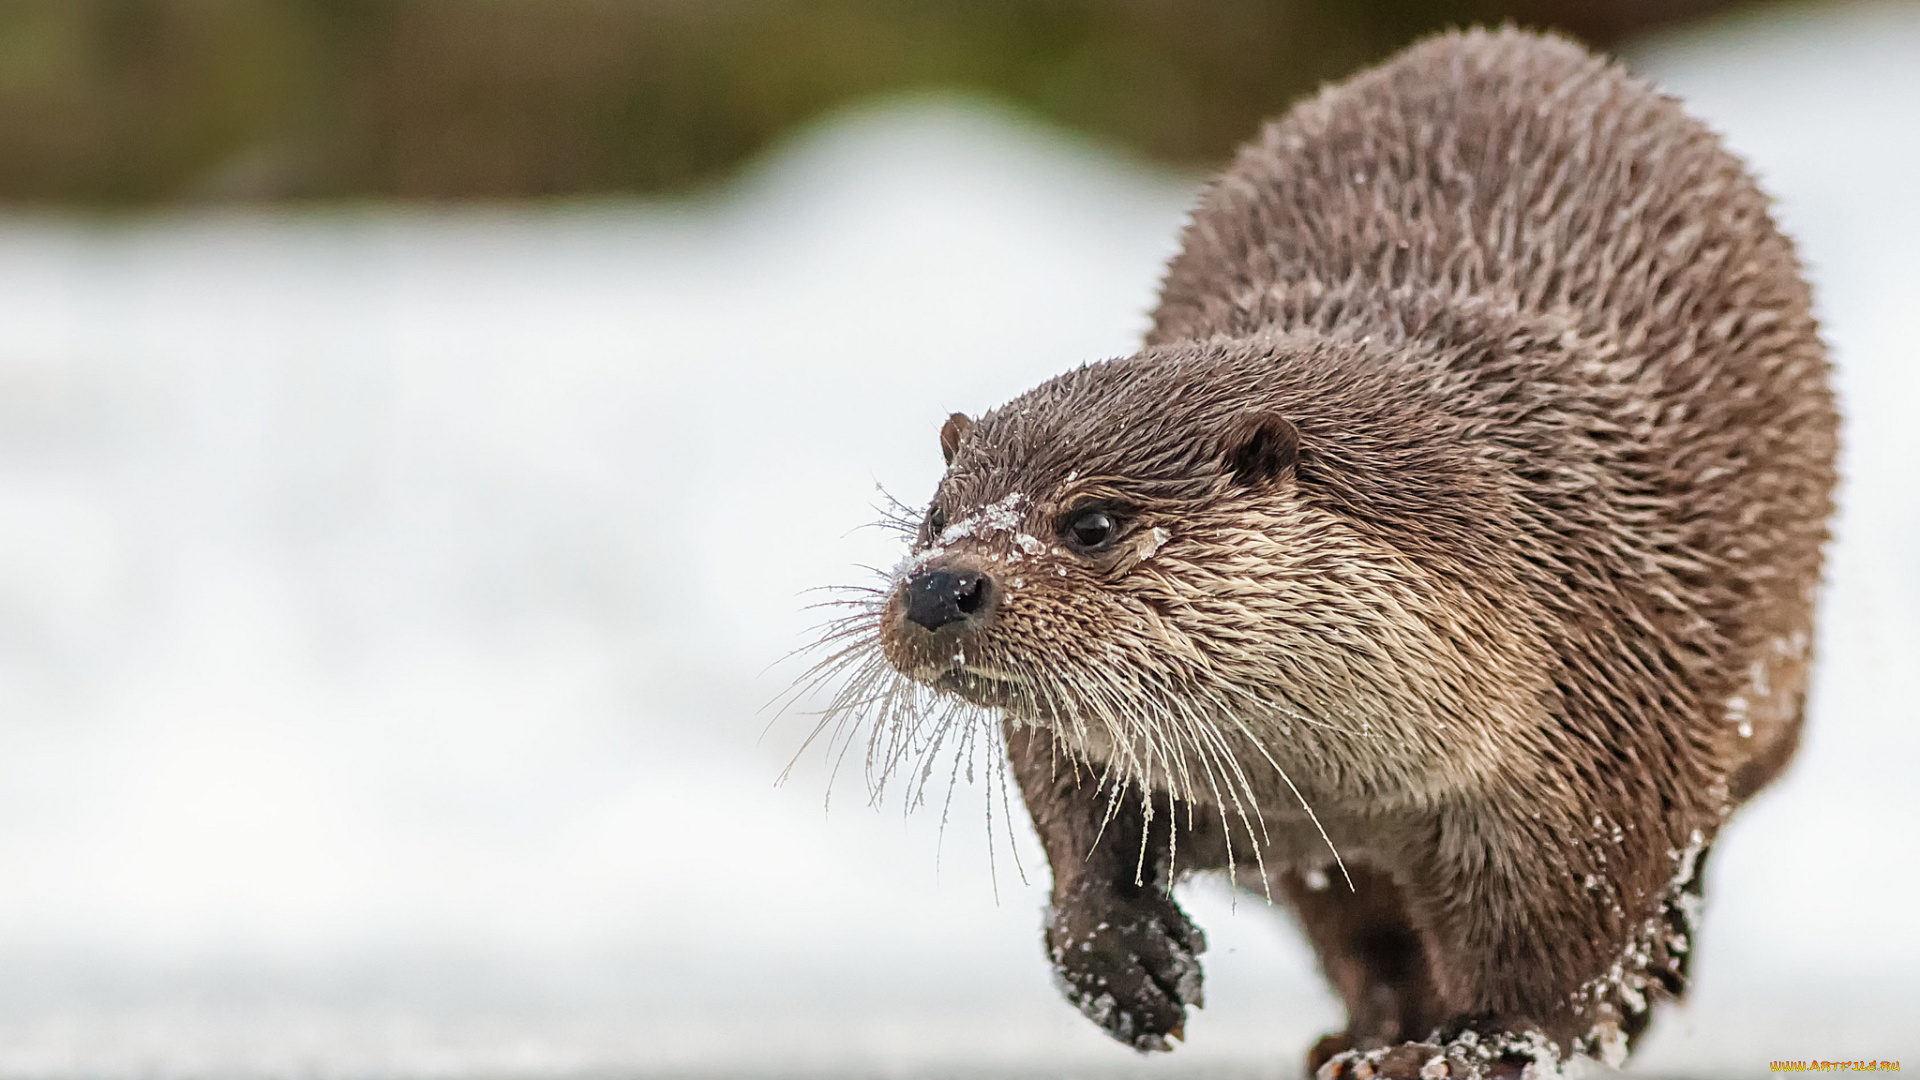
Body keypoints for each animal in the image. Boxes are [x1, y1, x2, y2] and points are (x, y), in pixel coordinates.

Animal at [821, 27, 1827, 1076]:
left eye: (1091, 524)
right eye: (934, 518)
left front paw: (1465, 1051)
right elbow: (1070, 796)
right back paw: (1358, 1031)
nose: (938, 587)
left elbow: (1558, 959)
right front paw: (1117, 953)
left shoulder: (1604, 734)